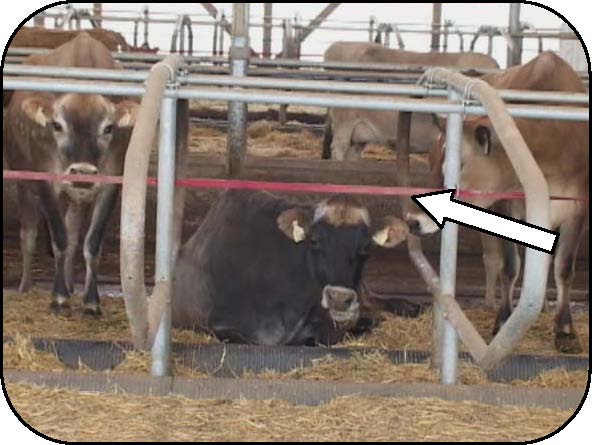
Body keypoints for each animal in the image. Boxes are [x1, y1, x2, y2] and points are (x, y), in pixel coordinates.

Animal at [3, 33, 139, 314]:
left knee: (74, 233)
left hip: (76, 197)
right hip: (24, 184)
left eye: (108, 128)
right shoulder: (45, 181)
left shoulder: (110, 184)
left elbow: (90, 243)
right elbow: (59, 239)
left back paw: (69, 283)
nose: (82, 171)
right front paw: (58, 297)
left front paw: (91, 301)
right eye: (57, 125)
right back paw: (26, 286)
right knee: (28, 235)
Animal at [404, 50, 588, 352]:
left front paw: (565, 331)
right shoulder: (505, 205)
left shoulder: (578, 210)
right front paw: (503, 320)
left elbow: (563, 268)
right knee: (493, 260)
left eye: (456, 167)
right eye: (431, 165)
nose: (412, 221)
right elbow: (510, 266)